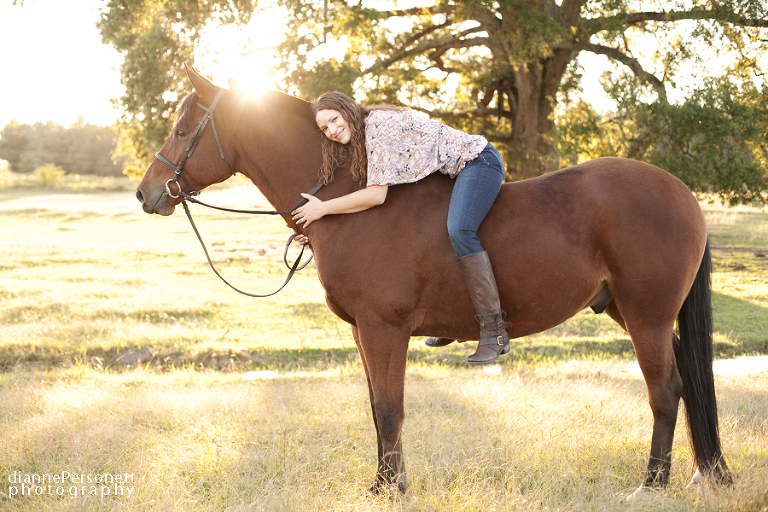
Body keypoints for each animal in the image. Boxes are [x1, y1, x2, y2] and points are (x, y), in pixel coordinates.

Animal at [136, 66, 731, 497]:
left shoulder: (384, 329)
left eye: (184, 128)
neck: (349, 201)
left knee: (666, 391)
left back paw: (651, 485)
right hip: (634, 313)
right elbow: (378, 409)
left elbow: (389, 408)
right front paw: (385, 485)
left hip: (647, 317)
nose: (147, 193)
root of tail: (681, 191)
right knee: (685, 385)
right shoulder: (364, 332)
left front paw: (390, 489)